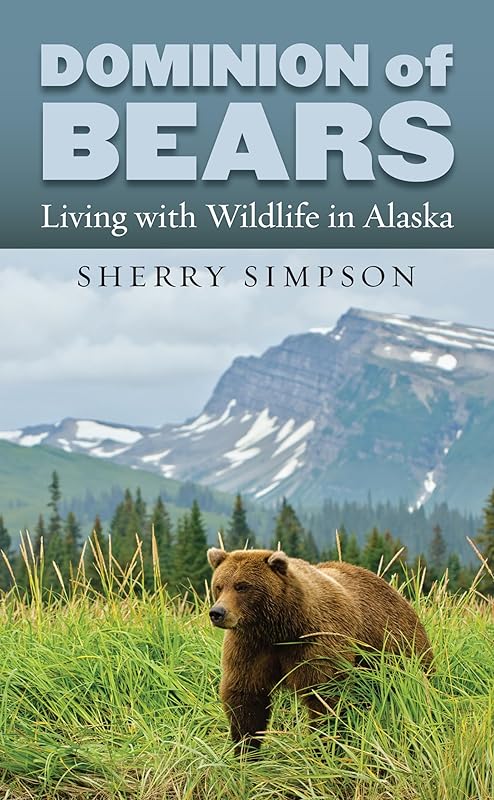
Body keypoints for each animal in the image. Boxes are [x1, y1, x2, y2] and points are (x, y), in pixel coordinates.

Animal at [207, 547, 433, 752]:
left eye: (242, 586)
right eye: (219, 586)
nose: (217, 612)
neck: (280, 629)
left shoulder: (317, 644)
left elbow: (324, 696)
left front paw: (323, 745)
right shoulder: (249, 647)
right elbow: (245, 697)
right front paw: (245, 750)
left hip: (395, 646)